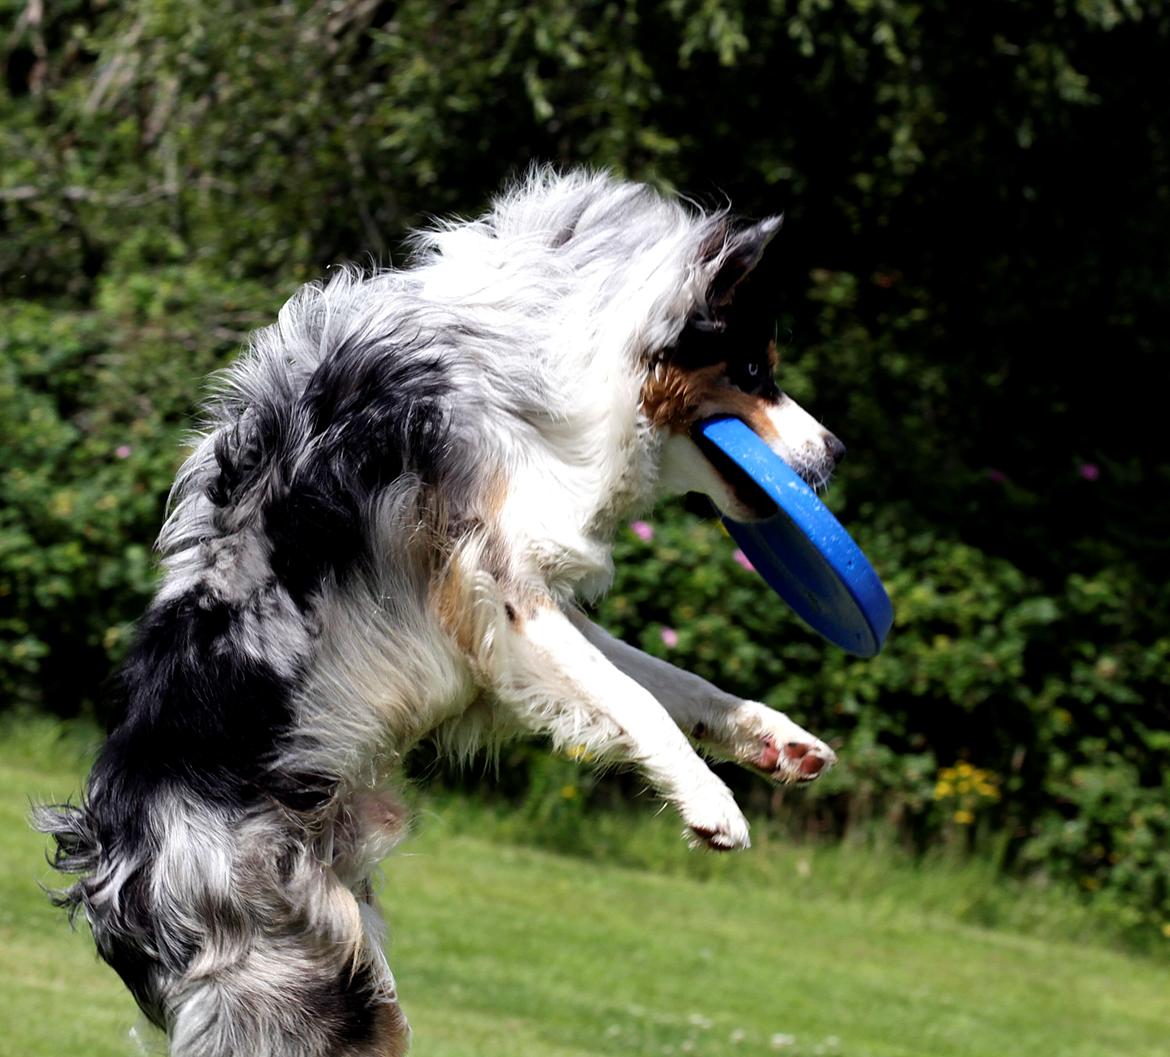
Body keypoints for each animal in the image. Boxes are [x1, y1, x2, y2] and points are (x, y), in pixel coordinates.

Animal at [36, 172, 842, 1057]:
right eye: (754, 369)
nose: (836, 451)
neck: (549, 348)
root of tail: (112, 863)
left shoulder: (521, 603)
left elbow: (668, 681)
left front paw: (773, 738)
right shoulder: (495, 582)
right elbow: (634, 699)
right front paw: (711, 803)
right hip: (310, 993)